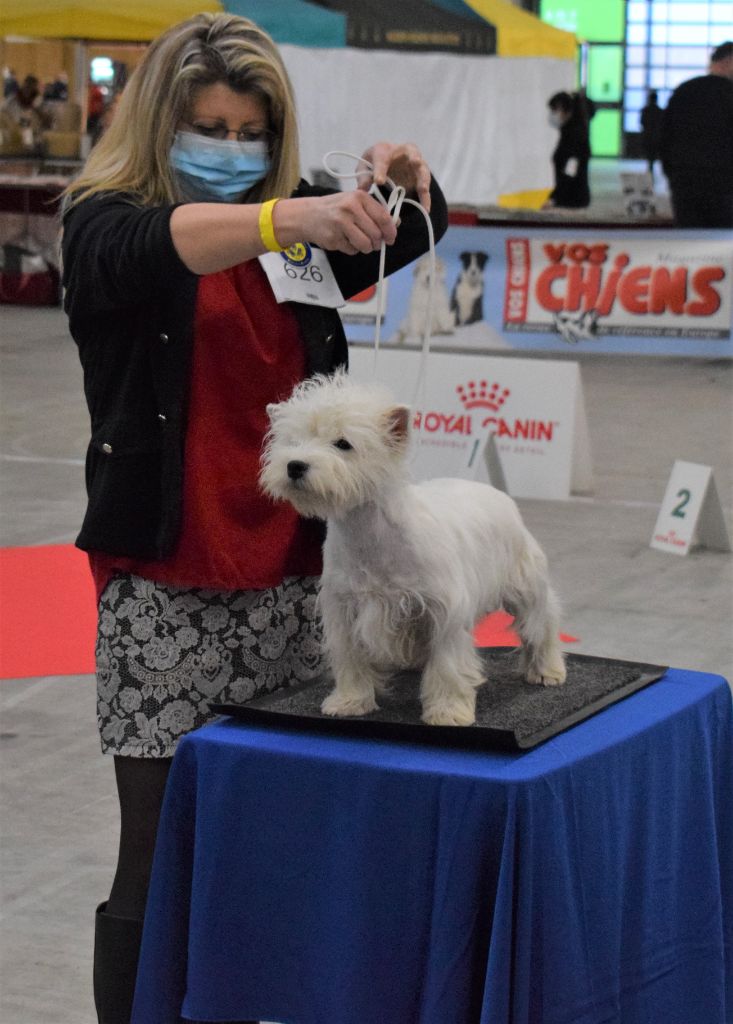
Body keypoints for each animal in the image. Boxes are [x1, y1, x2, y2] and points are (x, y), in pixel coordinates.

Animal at [261, 372, 565, 724]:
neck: (368, 535)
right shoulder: (345, 608)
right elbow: (352, 660)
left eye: (343, 444)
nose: (295, 466)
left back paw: (547, 670)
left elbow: (447, 664)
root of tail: (494, 492)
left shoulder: (445, 610)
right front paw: (350, 702)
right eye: (292, 442)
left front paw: (448, 712)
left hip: (524, 579)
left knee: (541, 620)